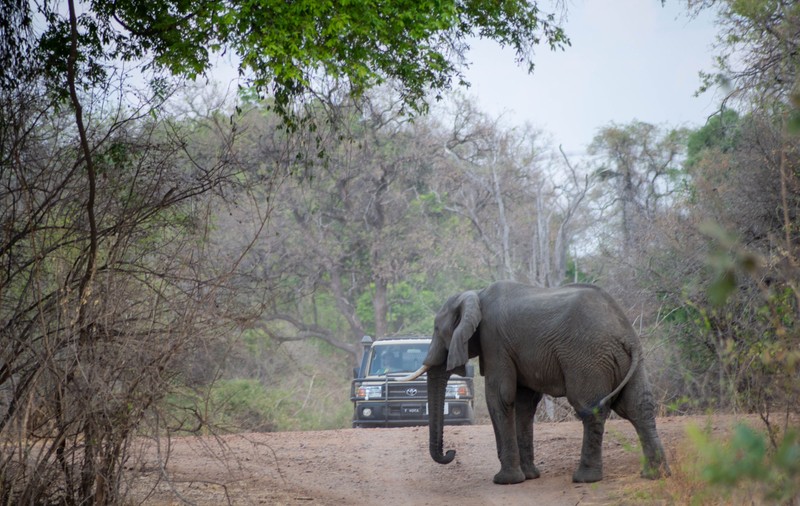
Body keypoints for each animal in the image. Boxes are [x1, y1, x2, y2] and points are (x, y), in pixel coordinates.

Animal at [400, 280, 670, 485]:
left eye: (437, 329)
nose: (451, 452)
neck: (475, 294)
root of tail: (625, 334)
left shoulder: (495, 341)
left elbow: (499, 396)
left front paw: (506, 480)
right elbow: (524, 403)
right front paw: (529, 476)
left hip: (587, 358)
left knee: (589, 409)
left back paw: (585, 478)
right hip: (630, 360)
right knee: (638, 407)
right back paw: (655, 475)